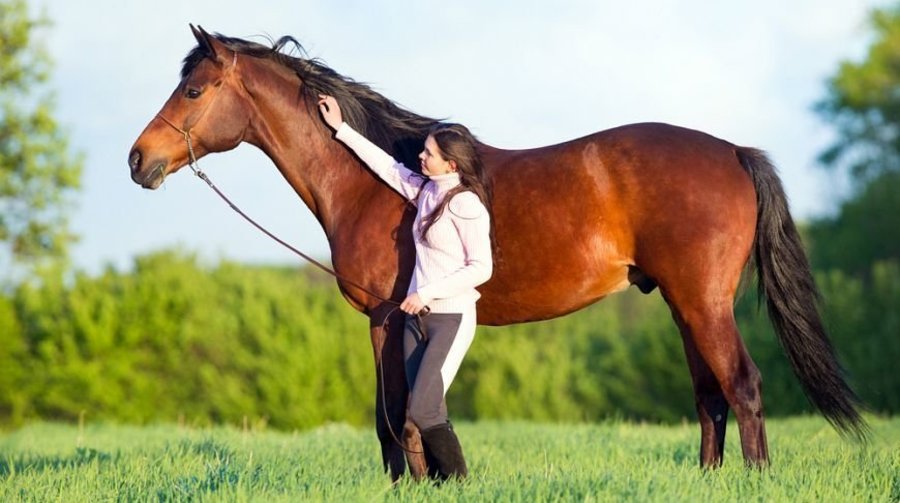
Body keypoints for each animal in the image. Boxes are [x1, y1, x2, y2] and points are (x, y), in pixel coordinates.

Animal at [126, 26, 864, 480]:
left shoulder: (385, 317)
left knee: (742, 385)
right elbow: (403, 416)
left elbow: (393, 416)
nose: (139, 160)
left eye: (193, 90)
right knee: (710, 395)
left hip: (704, 302)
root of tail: (732, 151)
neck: (372, 180)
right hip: (686, 305)